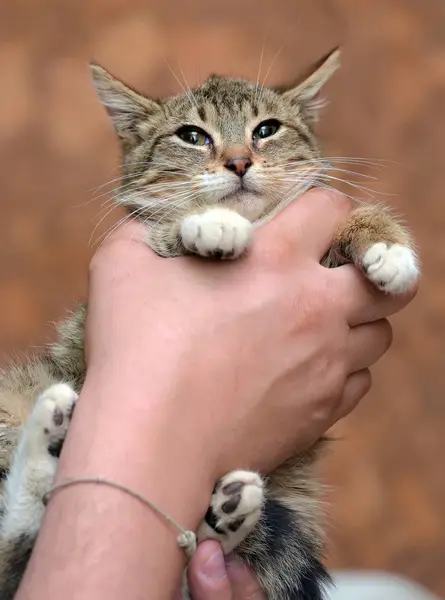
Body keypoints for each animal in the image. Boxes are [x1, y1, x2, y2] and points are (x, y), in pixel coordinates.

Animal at [0, 48, 418, 600]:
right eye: (193, 136)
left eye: (267, 129)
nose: (239, 161)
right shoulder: (152, 240)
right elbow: (172, 226)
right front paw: (211, 223)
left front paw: (387, 244)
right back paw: (46, 436)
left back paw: (229, 509)